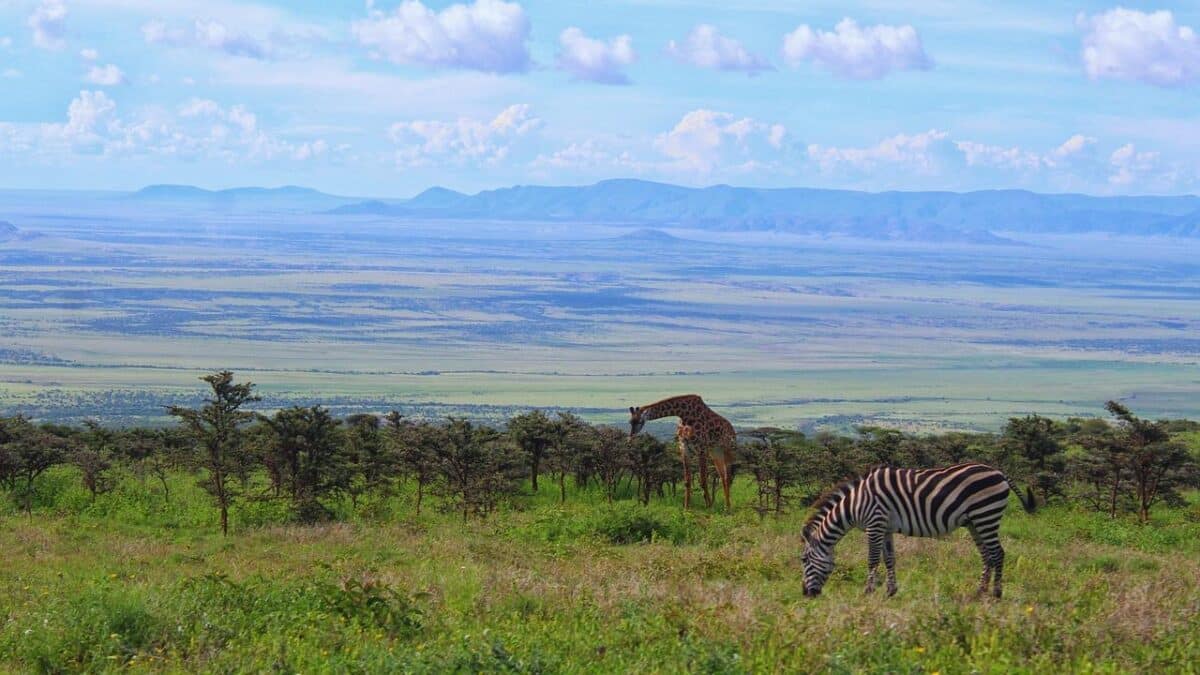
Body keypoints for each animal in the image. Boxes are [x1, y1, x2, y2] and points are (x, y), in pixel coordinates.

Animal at [796, 458, 1032, 595]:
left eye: (804, 559)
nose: (805, 593)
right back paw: (979, 591)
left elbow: (872, 559)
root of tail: (999, 472)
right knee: (987, 554)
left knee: (998, 553)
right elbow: (889, 559)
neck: (854, 504)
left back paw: (996, 593)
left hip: (986, 515)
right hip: (975, 522)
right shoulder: (885, 528)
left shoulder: (875, 523)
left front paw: (868, 590)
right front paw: (891, 591)